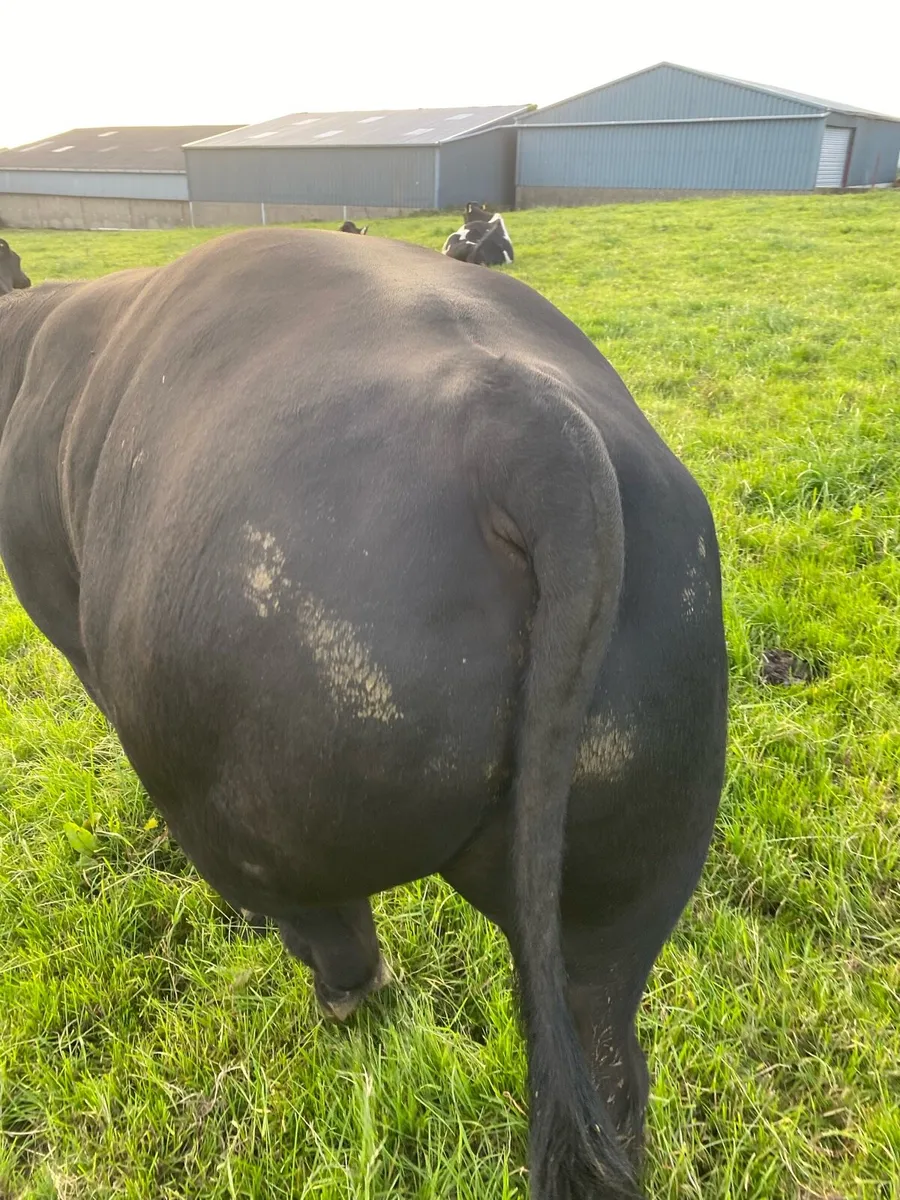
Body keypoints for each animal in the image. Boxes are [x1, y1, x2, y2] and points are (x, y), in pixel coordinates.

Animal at [0, 228, 727, 1200]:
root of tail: (526, 427)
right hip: (622, 877)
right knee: (608, 1068)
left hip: (250, 803)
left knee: (331, 937)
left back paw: (330, 991)